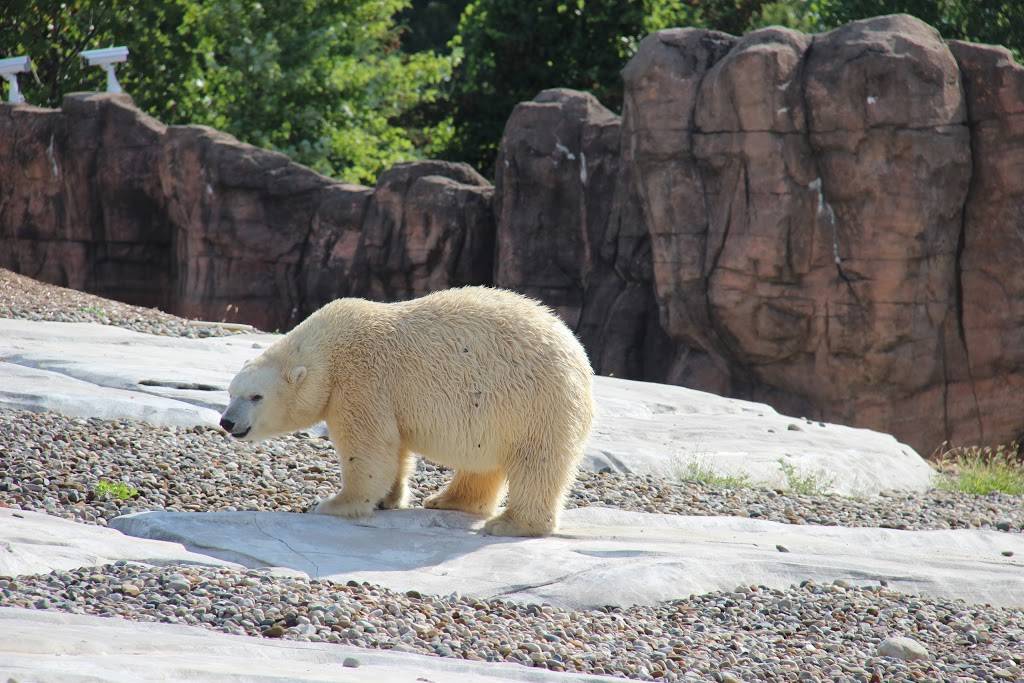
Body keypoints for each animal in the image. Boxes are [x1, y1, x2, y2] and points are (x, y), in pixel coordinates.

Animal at [220, 286, 598, 536]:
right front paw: (389, 499)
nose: (227, 421)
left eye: (256, 396)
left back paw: (510, 523)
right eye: (231, 392)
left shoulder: (362, 380)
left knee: (536, 463)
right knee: (484, 464)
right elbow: (395, 448)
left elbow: (368, 448)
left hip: (537, 403)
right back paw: (446, 500)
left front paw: (334, 504)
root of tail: (580, 357)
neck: (326, 352)